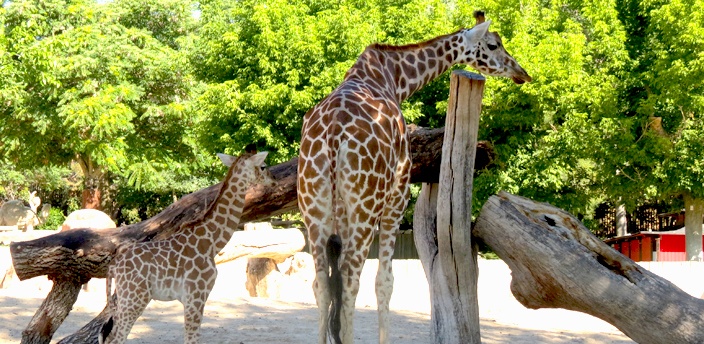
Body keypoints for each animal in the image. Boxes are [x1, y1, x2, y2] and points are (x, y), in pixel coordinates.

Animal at [99, 152, 276, 342]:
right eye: (263, 166)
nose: (274, 181)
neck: (211, 242)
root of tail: (114, 266)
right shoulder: (195, 295)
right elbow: (191, 338)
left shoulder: (194, 298)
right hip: (135, 299)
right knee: (117, 337)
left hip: (122, 300)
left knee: (108, 336)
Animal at [298, 11, 532, 344]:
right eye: (493, 44)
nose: (521, 72)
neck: (394, 78)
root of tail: (333, 135)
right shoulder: (398, 196)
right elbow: (384, 282)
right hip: (365, 207)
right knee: (351, 279)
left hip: (313, 210)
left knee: (321, 283)